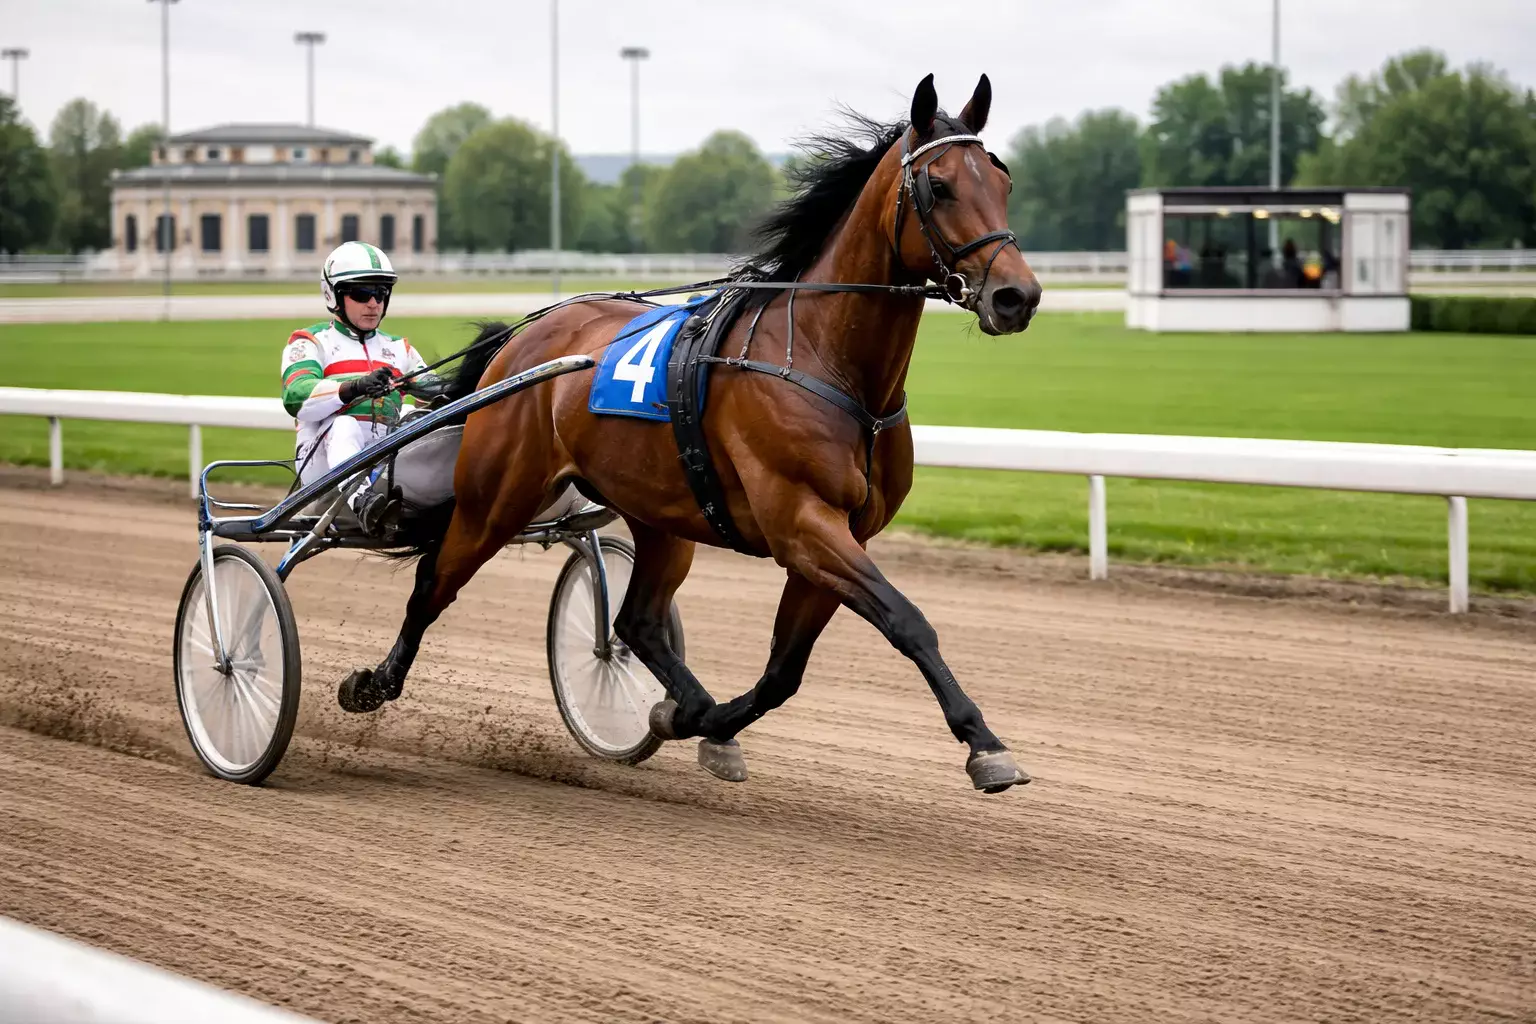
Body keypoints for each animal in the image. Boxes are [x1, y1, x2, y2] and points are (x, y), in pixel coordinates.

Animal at [342, 73, 1043, 793]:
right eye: (940, 186)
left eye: (1003, 179)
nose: (1017, 296)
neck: (826, 362)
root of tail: (525, 335)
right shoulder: (803, 524)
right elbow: (907, 620)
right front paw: (984, 744)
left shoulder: (842, 534)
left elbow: (783, 671)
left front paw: (698, 723)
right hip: (497, 500)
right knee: (434, 582)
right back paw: (372, 683)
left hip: (660, 512)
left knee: (636, 621)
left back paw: (685, 704)